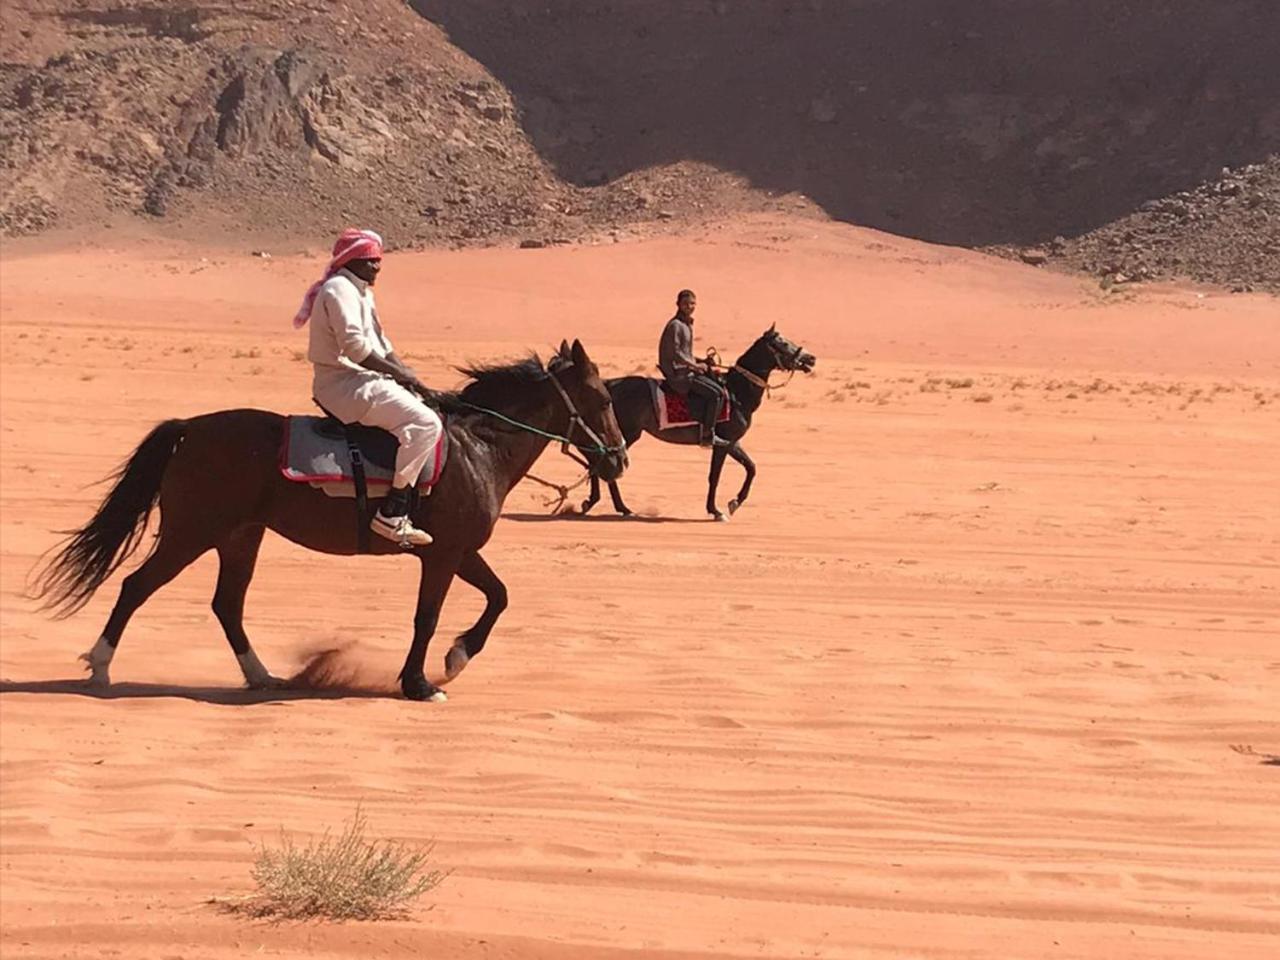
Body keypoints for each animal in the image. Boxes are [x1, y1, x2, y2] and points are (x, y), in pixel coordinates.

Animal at [30, 343, 624, 701]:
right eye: (600, 397)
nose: (618, 460)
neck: (477, 446)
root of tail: (190, 428)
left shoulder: (459, 551)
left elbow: (499, 596)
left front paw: (456, 658)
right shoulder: (443, 554)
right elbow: (427, 618)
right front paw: (420, 681)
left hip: (238, 537)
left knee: (227, 605)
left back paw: (260, 675)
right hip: (190, 534)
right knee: (136, 586)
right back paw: (101, 667)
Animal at [583, 327, 814, 522]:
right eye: (782, 343)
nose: (810, 359)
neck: (737, 393)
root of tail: (608, 386)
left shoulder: (732, 443)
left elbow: (751, 467)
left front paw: (734, 502)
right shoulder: (723, 443)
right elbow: (715, 476)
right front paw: (717, 511)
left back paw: (602, 504)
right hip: (627, 433)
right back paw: (617, 506)